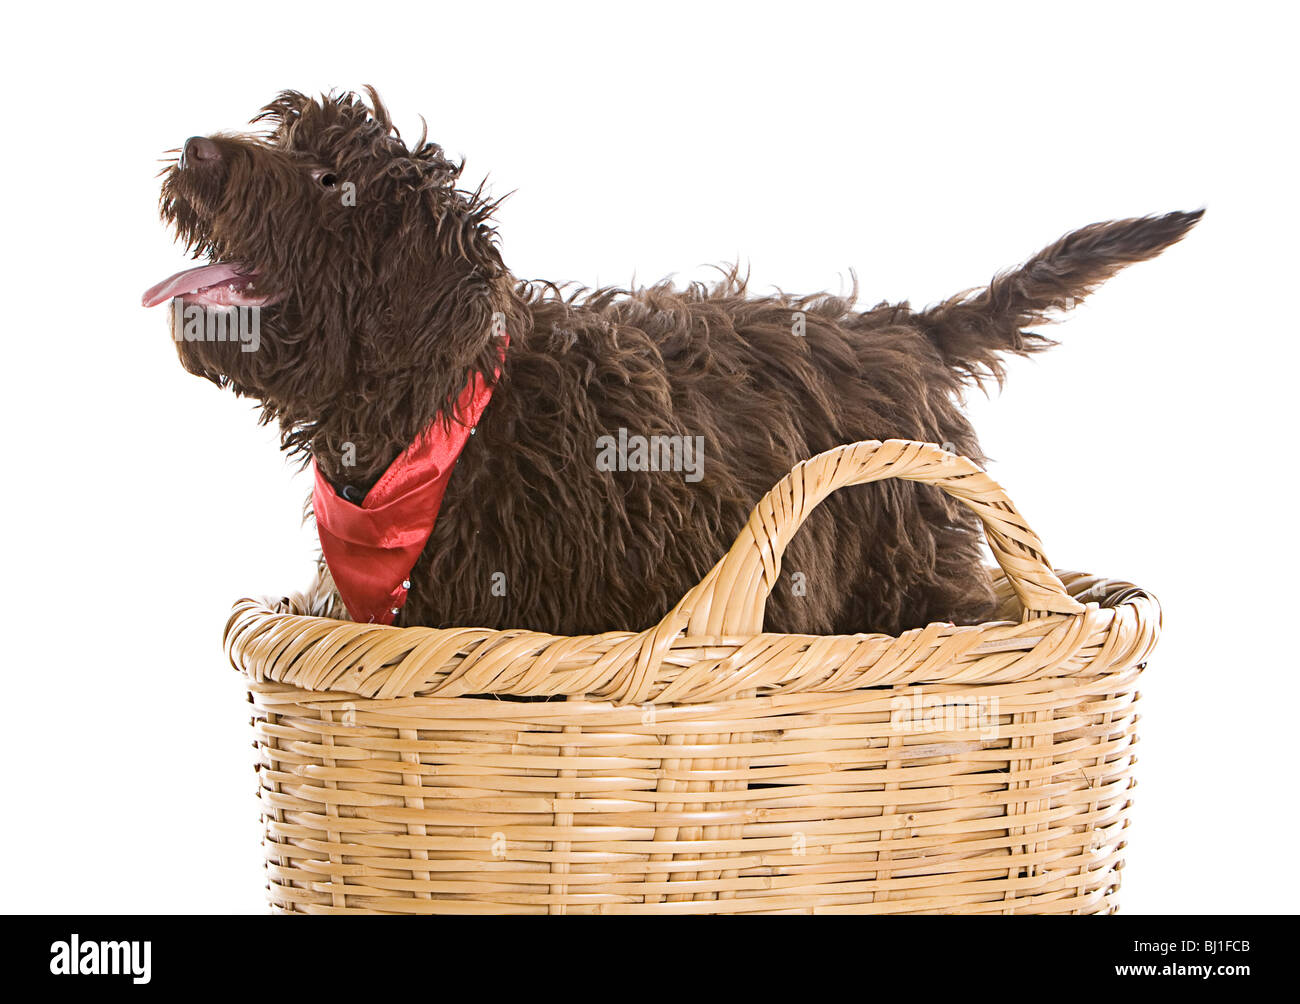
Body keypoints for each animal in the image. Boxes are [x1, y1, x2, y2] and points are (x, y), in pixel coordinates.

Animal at [144, 88, 1196, 634]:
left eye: (330, 178)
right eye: (279, 133)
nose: (195, 148)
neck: (452, 415)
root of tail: (902, 331)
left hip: (907, 567)